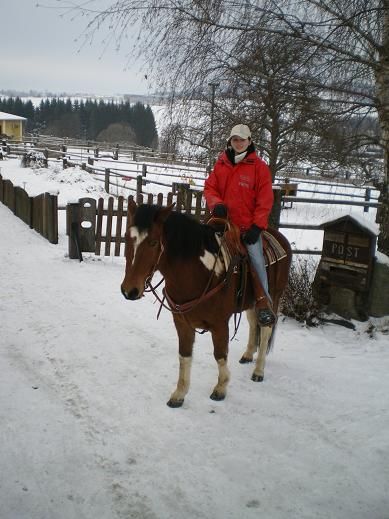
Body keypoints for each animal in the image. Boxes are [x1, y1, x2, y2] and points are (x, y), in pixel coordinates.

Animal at [121, 201, 292, 408]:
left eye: (153, 242)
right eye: (127, 238)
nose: (129, 290)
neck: (198, 273)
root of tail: (280, 237)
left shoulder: (220, 325)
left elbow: (220, 355)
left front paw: (221, 388)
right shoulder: (182, 323)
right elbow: (184, 355)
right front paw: (179, 394)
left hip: (273, 296)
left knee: (266, 328)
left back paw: (259, 370)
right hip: (251, 302)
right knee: (253, 323)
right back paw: (248, 354)